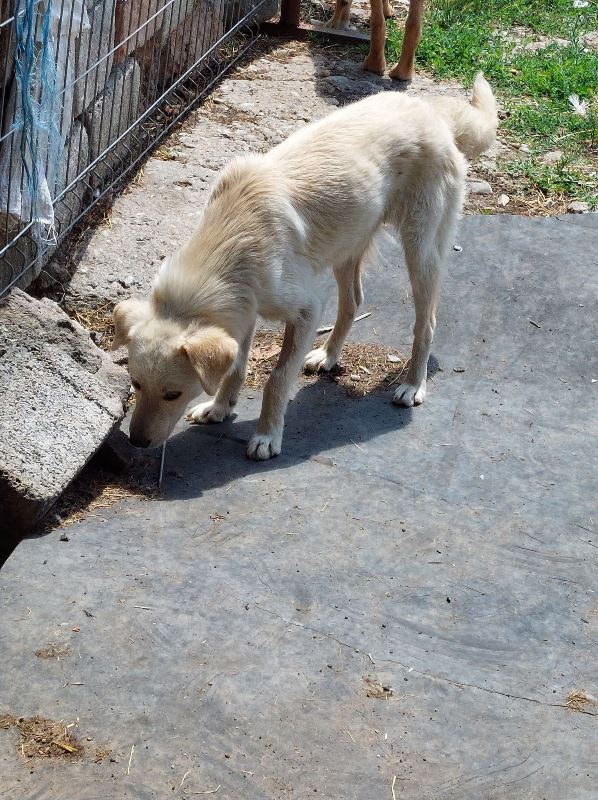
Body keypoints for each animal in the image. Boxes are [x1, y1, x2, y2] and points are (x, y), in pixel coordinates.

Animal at [112, 79, 496, 462]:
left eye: (172, 394)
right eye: (136, 383)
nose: (136, 442)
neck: (228, 242)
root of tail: (431, 111)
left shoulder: (306, 310)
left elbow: (277, 378)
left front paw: (267, 436)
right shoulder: (244, 310)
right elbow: (235, 368)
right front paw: (219, 408)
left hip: (420, 249)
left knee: (426, 321)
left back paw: (413, 383)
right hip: (347, 246)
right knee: (353, 302)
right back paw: (327, 355)